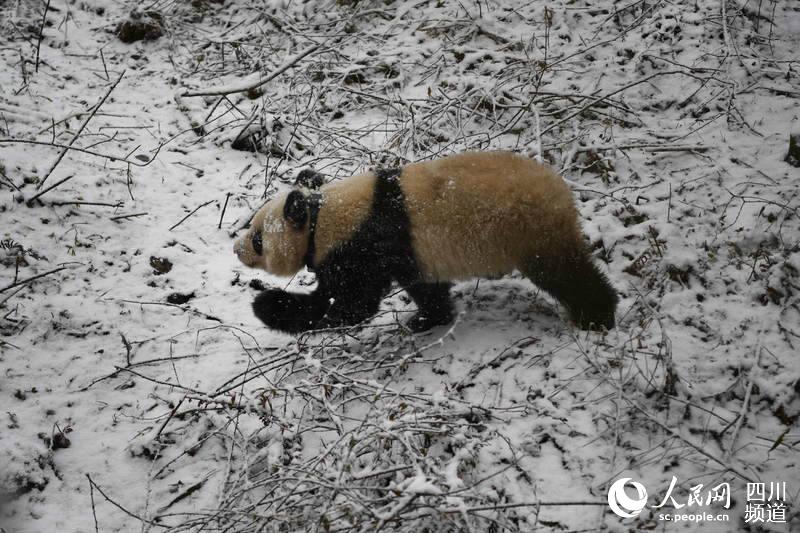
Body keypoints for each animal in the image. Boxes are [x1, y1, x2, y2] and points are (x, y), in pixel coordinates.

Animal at [233, 151, 620, 332]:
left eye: (257, 238)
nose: (236, 249)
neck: (321, 216)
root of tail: (561, 190)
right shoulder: (409, 252)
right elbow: (425, 287)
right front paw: (429, 318)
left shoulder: (364, 242)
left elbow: (350, 303)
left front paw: (267, 305)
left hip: (530, 229)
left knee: (565, 273)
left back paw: (598, 315)